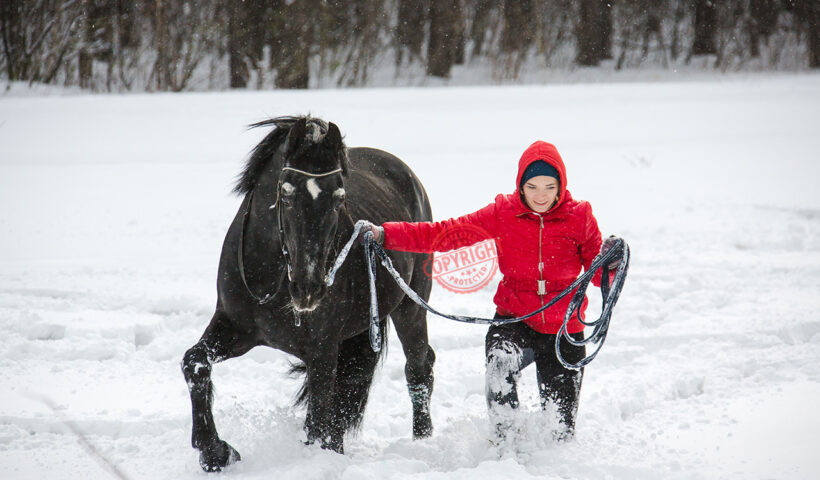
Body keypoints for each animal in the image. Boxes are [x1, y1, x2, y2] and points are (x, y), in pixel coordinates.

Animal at [179, 115, 436, 468]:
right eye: (286, 195)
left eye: (339, 198)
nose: (308, 288)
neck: (273, 281)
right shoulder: (235, 327)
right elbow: (195, 362)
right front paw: (215, 452)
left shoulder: (322, 348)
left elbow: (319, 420)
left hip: (410, 307)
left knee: (418, 369)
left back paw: (423, 442)